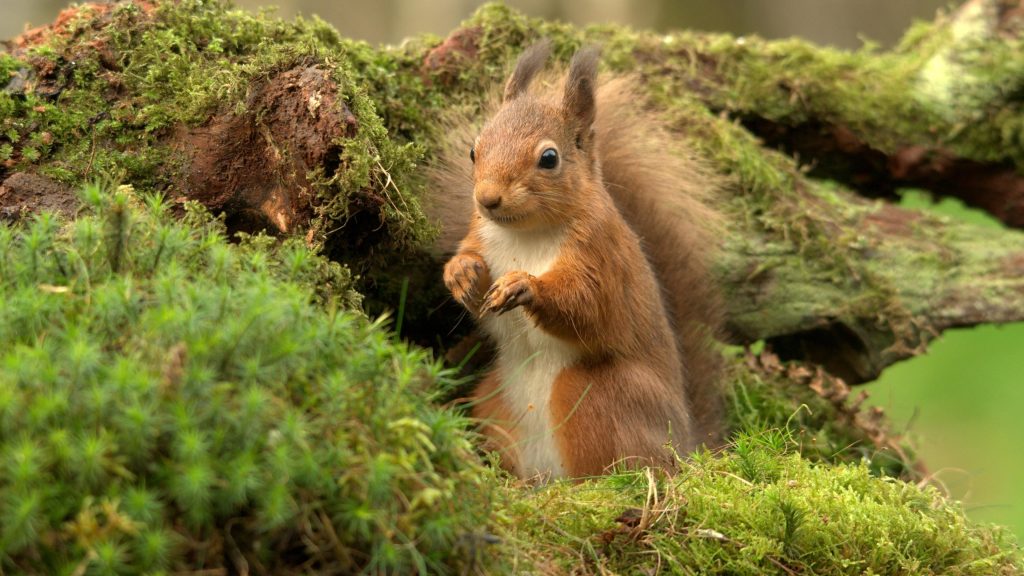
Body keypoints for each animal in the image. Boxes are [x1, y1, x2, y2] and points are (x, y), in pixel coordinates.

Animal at [428, 42, 724, 477]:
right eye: (473, 150)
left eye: (549, 158)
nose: (487, 199)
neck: (525, 234)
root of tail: (684, 442)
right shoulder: (479, 234)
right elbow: (469, 258)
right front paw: (461, 273)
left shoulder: (600, 255)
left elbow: (587, 305)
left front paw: (525, 285)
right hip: (494, 402)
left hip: (593, 395)